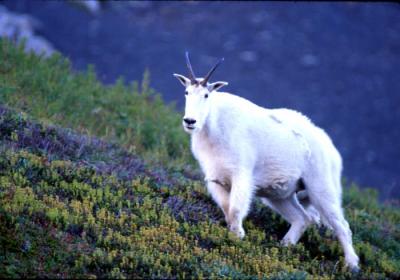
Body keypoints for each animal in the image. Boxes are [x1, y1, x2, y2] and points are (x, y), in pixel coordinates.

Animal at [172, 52, 360, 272]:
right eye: (186, 92)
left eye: (206, 95)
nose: (190, 121)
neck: (214, 129)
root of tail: (333, 152)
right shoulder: (216, 179)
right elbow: (227, 208)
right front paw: (233, 235)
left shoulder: (242, 174)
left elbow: (235, 209)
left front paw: (238, 236)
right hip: (280, 194)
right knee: (303, 218)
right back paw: (284, 246)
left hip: (321, 186)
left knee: (341, 225)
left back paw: (352, 265)